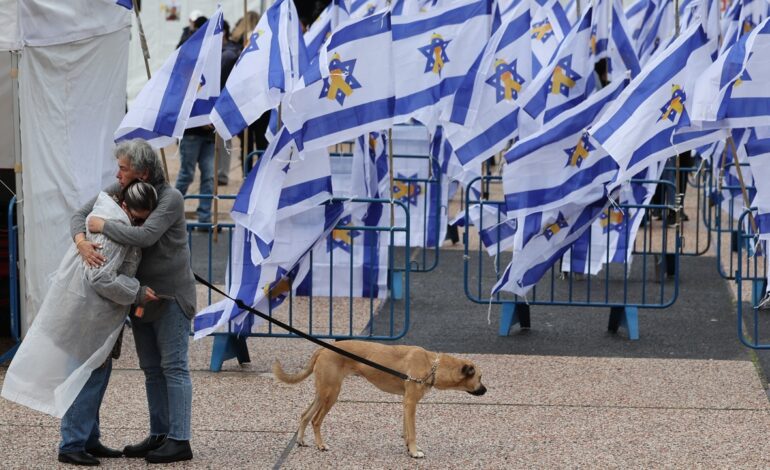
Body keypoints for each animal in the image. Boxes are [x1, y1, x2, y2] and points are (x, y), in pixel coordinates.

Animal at [272, 340, 484, 458]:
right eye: (480, 377)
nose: (485, 390)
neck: (433, 365)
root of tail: (322, 350)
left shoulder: (406, 403)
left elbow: (406, 430)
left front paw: (408, 449)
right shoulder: (411, 403)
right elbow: (413, 432)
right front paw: (414, 452)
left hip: (322, 392)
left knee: (304, 415)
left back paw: (300, 441)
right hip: (331, 394)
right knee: (315, 420)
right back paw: (321, 445)